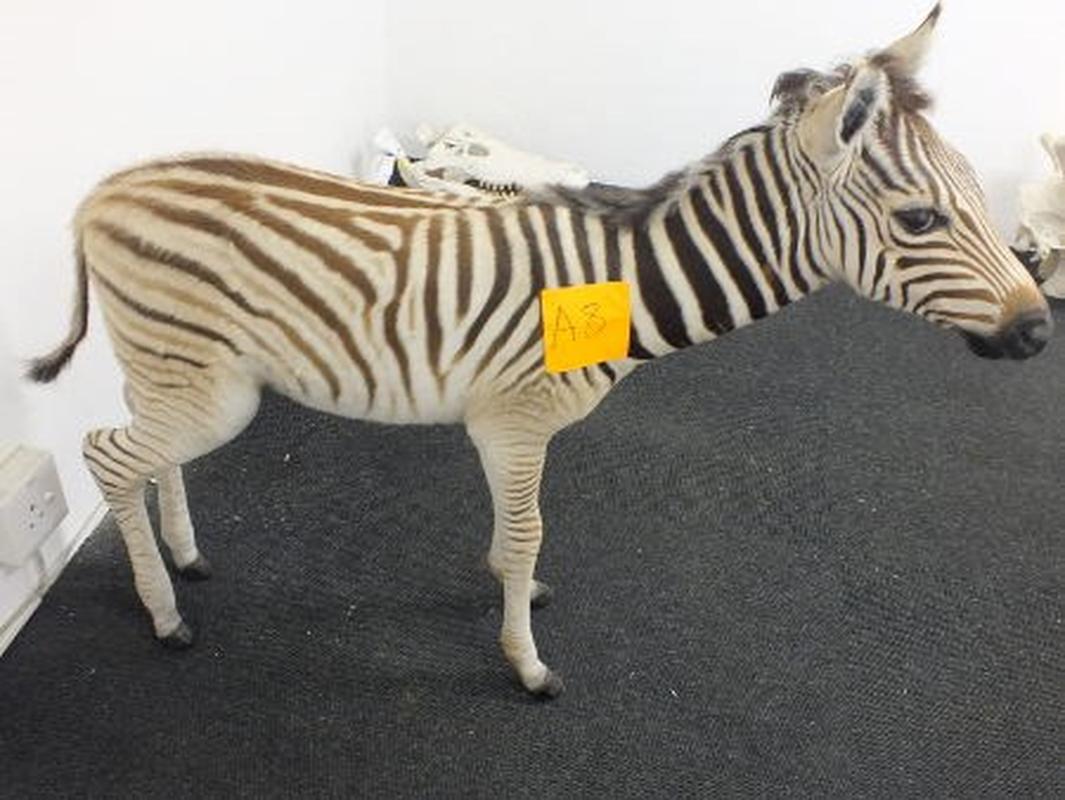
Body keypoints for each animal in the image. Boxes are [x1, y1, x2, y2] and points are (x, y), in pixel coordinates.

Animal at [27, 4, 1051, 698]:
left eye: (974, 194)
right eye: (918, 220)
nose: (1039, 329)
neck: (630, 283)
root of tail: (103, 191)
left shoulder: (502, 428)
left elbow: (512, 535)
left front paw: (505, 589)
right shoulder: (513, 423)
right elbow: (528, 534)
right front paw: (526, 665)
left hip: (173, 368)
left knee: (142, 454)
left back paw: (184, 553)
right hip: (209, 385)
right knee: (104, 455)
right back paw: (165, 614)